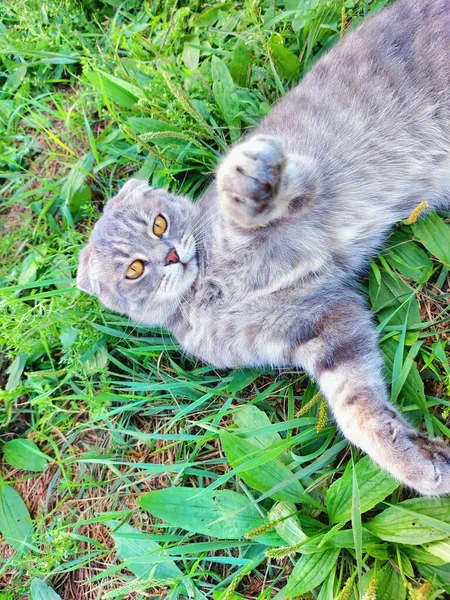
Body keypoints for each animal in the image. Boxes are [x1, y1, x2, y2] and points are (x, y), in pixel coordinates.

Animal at [76, 0, 450, 494]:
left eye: (159, 224)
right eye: (135, 269)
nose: (171, 255)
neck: (207, 292)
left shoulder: (303, 183)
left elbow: (243, 198)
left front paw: (243, 173)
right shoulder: (320, 324)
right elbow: (355, 409)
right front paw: (415, 463)